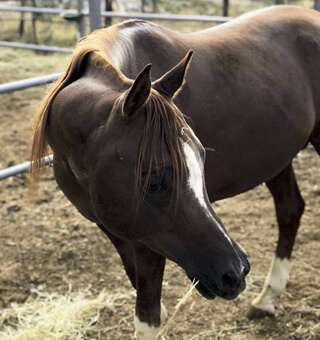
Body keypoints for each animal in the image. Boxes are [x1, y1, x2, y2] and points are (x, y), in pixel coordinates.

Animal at [31, 3, 320, 338]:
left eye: (201, 161)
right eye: (155, 178)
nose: (237, 271)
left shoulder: (147, 241)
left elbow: (147, 319)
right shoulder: (117, 227)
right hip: (275, 161)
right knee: (290, 209)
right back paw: (266, 299)